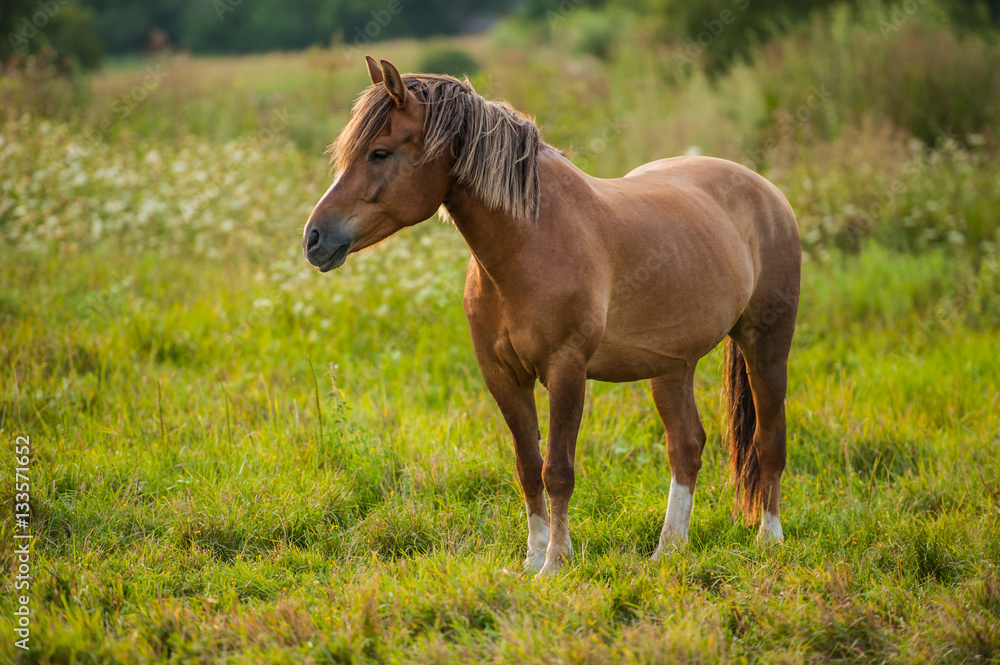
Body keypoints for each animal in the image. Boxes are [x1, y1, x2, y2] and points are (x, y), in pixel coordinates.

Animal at [300, 58, 800, 576]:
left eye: (379, 153)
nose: (314, 238)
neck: (530, 242)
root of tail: (766, 190)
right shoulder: (502, 376)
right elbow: (527, 467)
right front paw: (531, 557)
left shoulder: (566, 368)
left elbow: (557, 469)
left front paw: (556, 561)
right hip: (671, 366)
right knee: (686, 445)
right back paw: (669, 548)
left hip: (766, 342)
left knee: (768, 441)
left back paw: (769, 537)